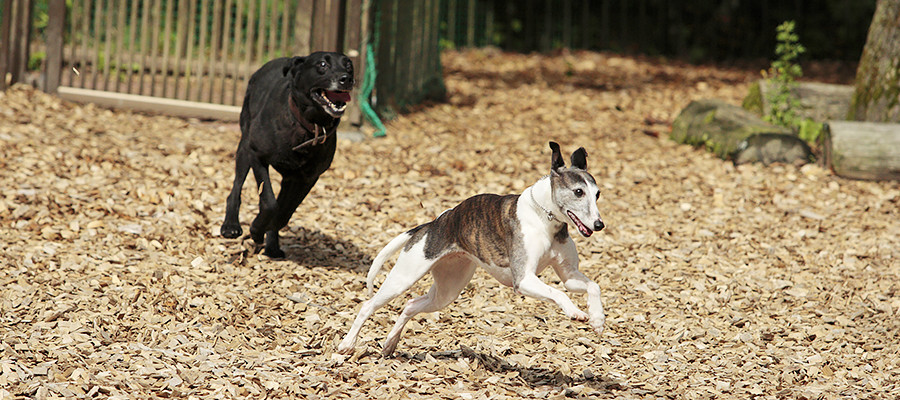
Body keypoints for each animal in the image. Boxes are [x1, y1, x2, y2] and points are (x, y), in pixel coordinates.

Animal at [221, 51, 356, 258]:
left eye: (349, 65)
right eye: (322, 64)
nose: (346, 78)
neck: (309, 126)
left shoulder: (307, 178)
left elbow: (284, 212)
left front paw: (263, 232)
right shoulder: (257, 156)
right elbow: (269, 202)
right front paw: (256, 230)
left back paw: (272, 247)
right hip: (244, 146)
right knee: (237, 186)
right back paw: (230, 226)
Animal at [342, 141, 608, 356]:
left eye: (597, 194)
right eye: (578, 192)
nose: (599, 225)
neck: (545, 218)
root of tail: (431, 225)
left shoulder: (569, 275)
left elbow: (592, 286)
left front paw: (597, 319)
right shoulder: (523, 280)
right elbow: (558, 293)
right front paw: (574, 311)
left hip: (447, 290)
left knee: (410, 305)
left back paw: (390, 343)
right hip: (403, 278)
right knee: (368, 306)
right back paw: (347, 344)